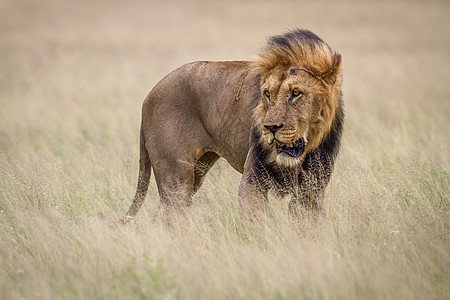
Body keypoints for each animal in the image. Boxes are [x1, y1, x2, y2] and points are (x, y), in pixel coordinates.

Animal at [124, 29, 344, 221]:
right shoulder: (253, 179)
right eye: (267, 93)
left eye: (296, 93)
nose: (270, 128)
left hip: (196, 171)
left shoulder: (312, 186)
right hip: (176, 178)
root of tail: (148, 97)